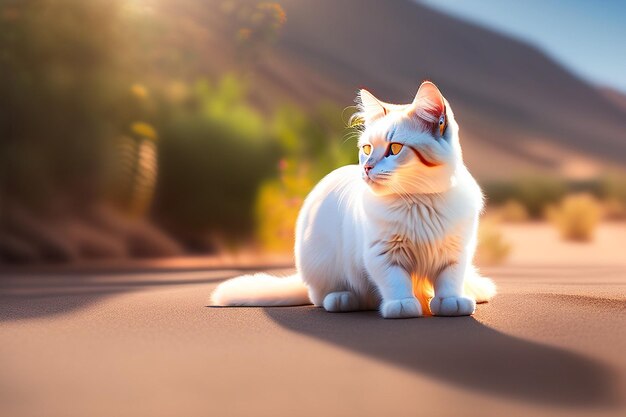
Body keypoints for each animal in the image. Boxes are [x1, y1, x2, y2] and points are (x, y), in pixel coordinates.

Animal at [212, 79, 494, 316]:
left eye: (394, 148)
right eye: (367, 149)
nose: (366, 167)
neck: (418, 202)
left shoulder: (456, 251)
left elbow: (449, 279)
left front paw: (450, 301)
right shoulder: (381, 253)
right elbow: (396, 281)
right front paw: (402, 305)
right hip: (321, 264)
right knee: (322, 296)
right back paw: (344, 299)